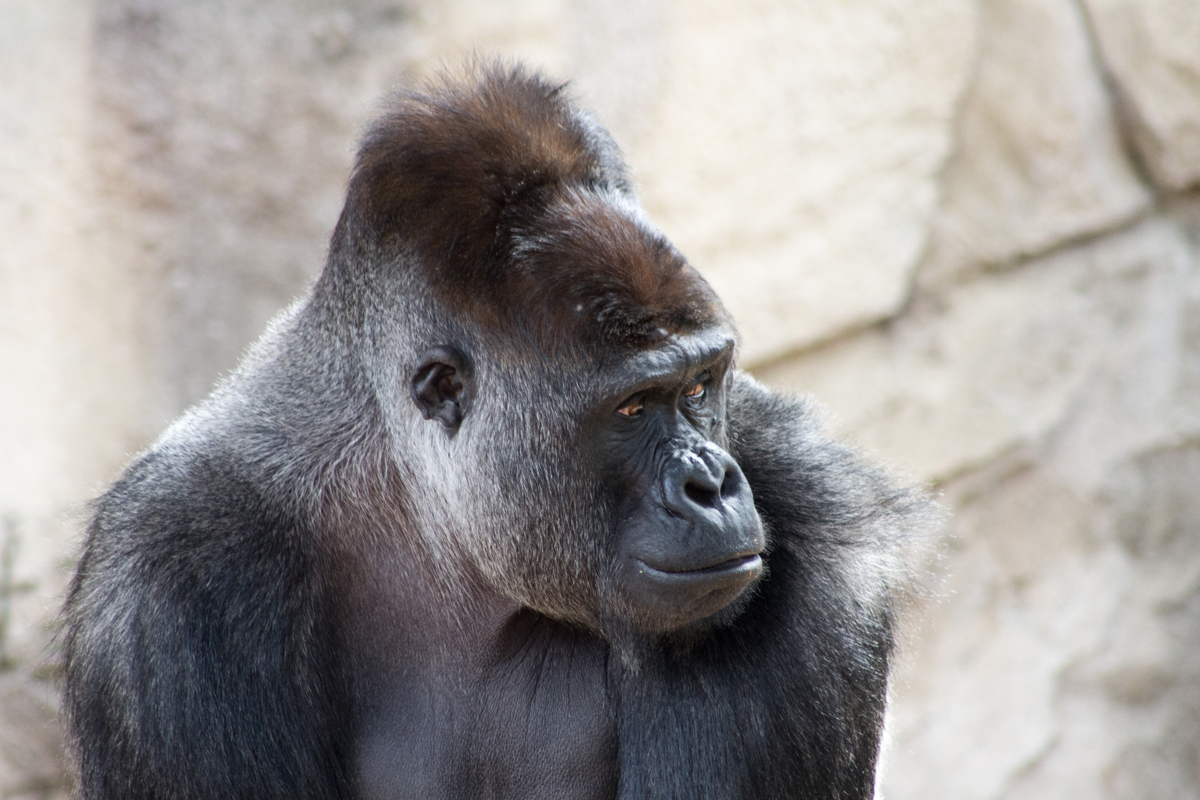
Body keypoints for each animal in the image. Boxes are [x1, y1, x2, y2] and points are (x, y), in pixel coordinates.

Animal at [62, 63, 933, 800]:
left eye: (697, 386)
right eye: (630, 408)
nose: (712, 483)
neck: (423, 513)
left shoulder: (811, 508)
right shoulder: (175, 568)